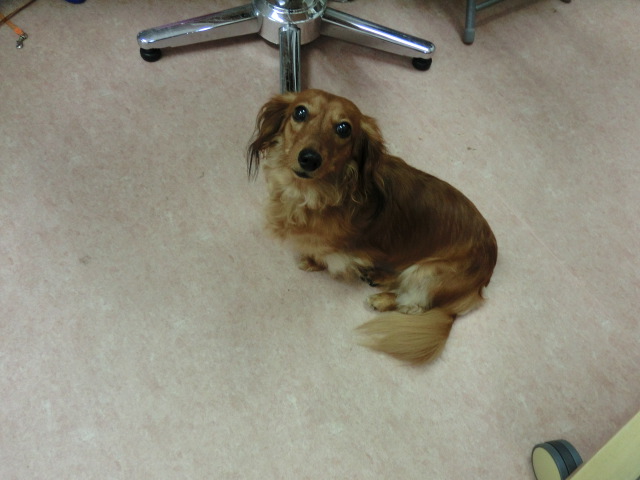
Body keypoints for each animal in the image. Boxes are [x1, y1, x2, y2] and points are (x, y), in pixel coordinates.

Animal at [247, 89, 497, 364]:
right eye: (299, 112)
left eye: (344, 128)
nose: (309, 159)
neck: (314, 193)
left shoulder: (343, 252)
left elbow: (326, 256)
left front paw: (313, 262)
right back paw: (378, 276)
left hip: (428, 272)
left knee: (415, 304)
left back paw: (383, 300)